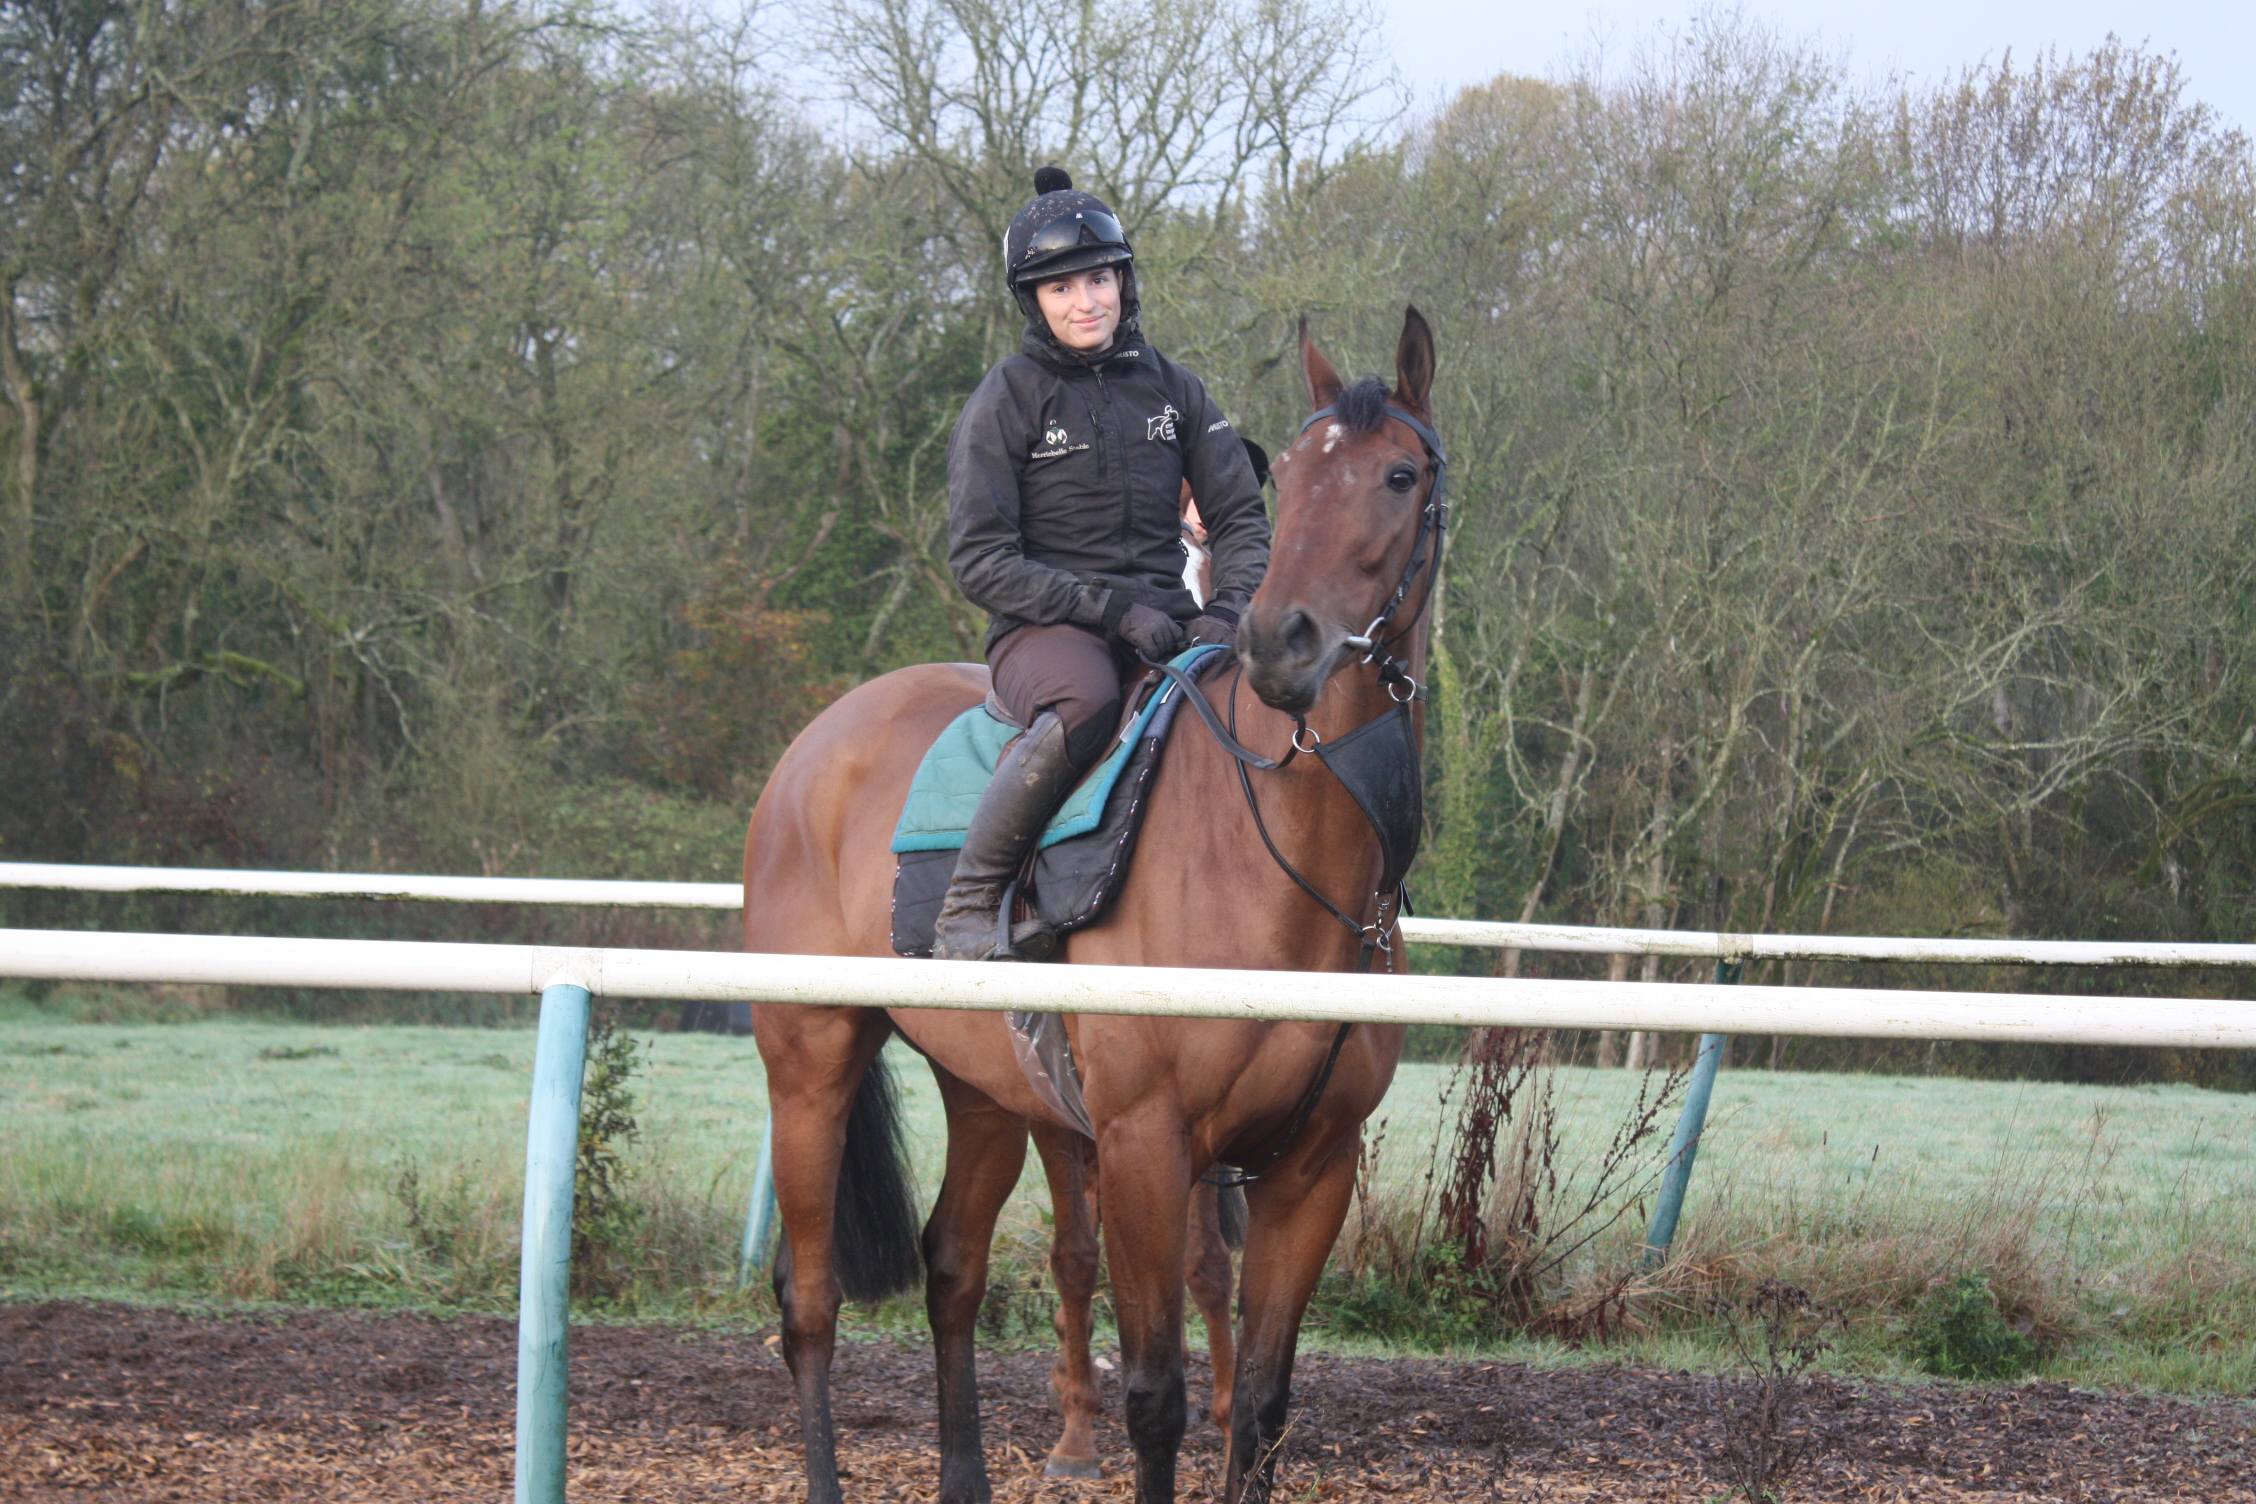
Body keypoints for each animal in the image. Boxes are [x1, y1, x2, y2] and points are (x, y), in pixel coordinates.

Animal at [744, 308, 1443, 1504]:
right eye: (1300, 472)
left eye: (1398, 475)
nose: (1279, 640)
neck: (1276, 860)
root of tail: (815, 742)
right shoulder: (1142, 1144)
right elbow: (1156, 1393)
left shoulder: (1314, 1165)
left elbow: (1264, 1405)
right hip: (811, 1061)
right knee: (811, 1301)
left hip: (984, 1088)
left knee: (953, 1268)